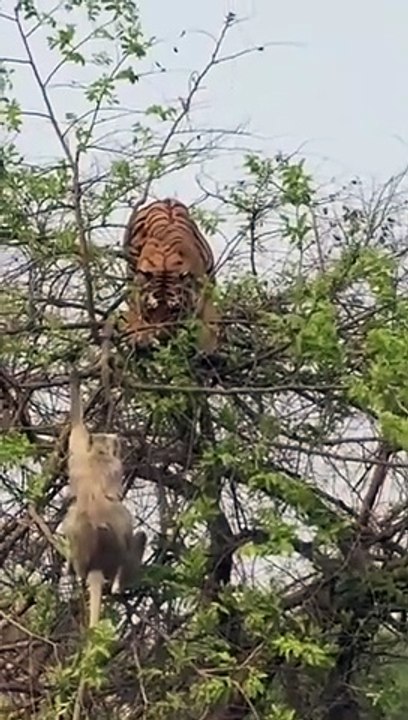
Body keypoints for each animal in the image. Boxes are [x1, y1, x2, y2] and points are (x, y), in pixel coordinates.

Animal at [68, 370, 123, 500]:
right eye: (112, 444)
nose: (115, 438)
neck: (96, 455)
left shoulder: (80, 453)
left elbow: (76, 423)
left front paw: (74, 378)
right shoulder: (115, 466)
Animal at [122, 198, 220, 353]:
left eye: (174, 311)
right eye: (151, 310)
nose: (162, 338)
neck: (165, 264)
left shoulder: (204, 286)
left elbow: (208, 317)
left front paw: (207, 346)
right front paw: (138, 336)